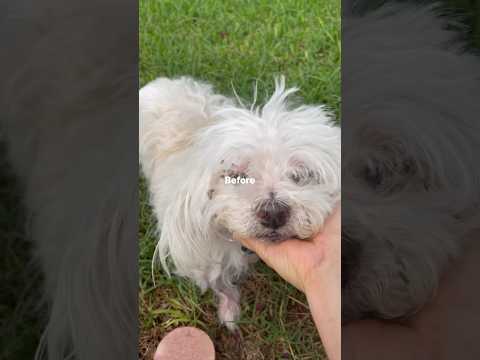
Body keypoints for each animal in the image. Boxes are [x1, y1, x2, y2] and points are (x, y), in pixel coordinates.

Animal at [139, 76, 342, 330]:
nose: (273, 213)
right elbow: (217, 282)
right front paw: (229, 310)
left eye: (301, 175)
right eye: (236, 175)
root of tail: (159, 83)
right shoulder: (203, 257)